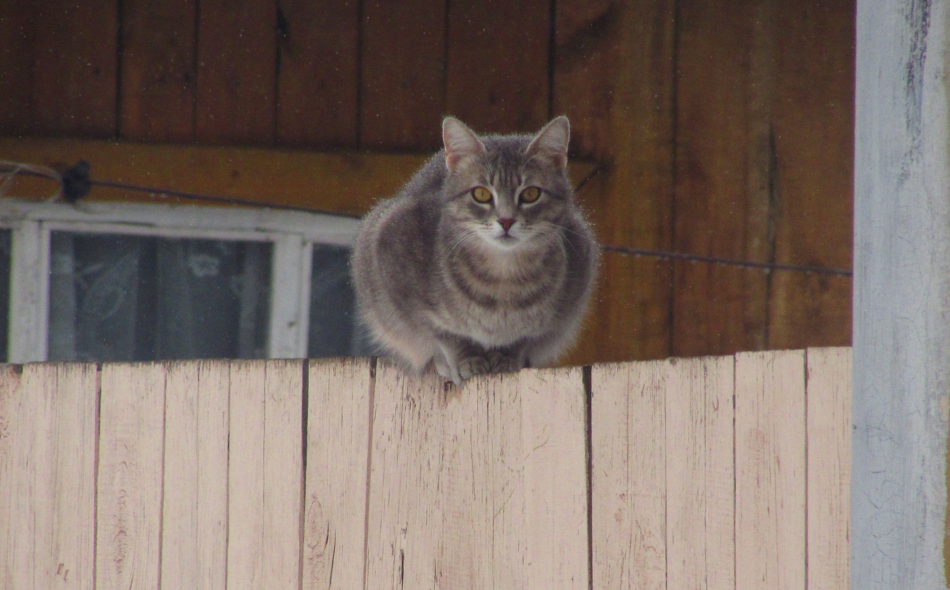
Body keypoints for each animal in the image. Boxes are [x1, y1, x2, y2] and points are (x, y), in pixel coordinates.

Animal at [354, 117, 600, 386]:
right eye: (481, 194)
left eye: (531, 193)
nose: (506, 220)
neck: (504, 277)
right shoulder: (398, 276)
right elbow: (446, 334)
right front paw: (466, 360)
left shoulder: (559, 313)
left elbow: (522, 338)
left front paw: (506, 358)